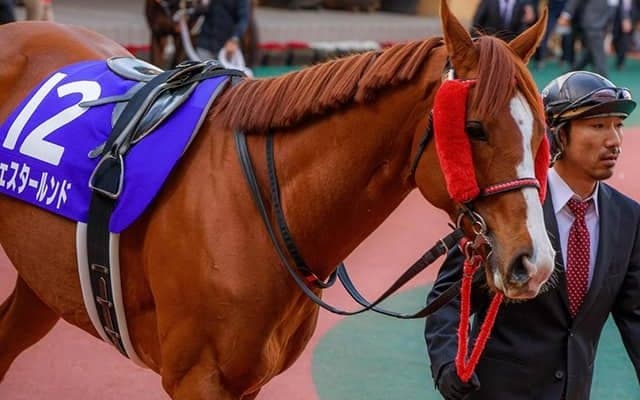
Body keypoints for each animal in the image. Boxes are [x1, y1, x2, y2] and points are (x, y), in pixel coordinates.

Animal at [0, 1, 553, 398]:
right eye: (474, 128)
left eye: (540, 132)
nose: (536, 261)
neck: (257, 204)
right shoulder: (196, 379)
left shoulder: (247, 381)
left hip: (44, 280)